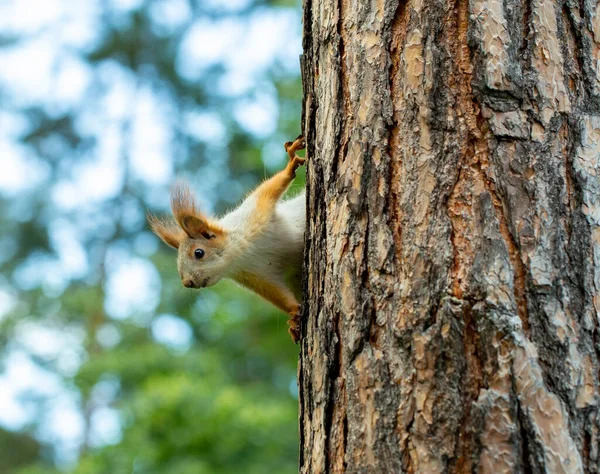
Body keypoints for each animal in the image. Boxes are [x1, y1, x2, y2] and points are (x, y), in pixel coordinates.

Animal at [148, 135, 308, 342]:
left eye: (198, 253)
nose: (187, 283)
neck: (240, 255)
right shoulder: (255, 275)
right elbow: (277, 293)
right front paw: (293, 313)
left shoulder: (254, 213)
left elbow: (270, 189)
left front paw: (290, 164)